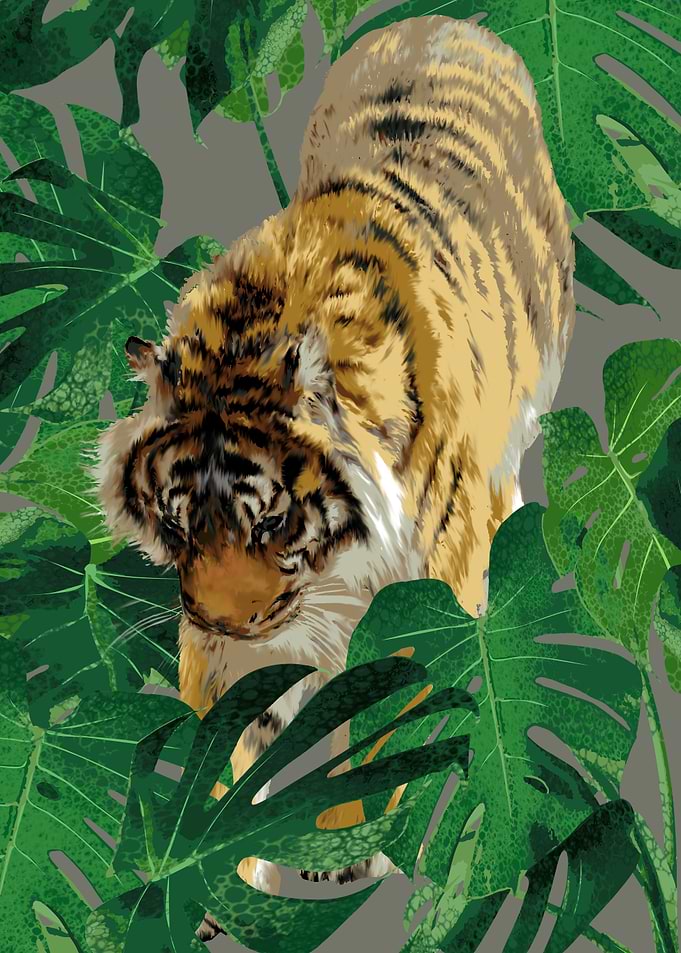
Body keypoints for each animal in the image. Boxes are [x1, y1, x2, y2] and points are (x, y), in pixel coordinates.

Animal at [94, 13, 575, 937]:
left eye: (270, 519)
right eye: (176, 521)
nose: (224, 619)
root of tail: (447, 22)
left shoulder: (423, 592)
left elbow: (391, 715)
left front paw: (350, 847)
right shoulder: (228, 639)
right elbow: (221, 738)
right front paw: (192, 873)